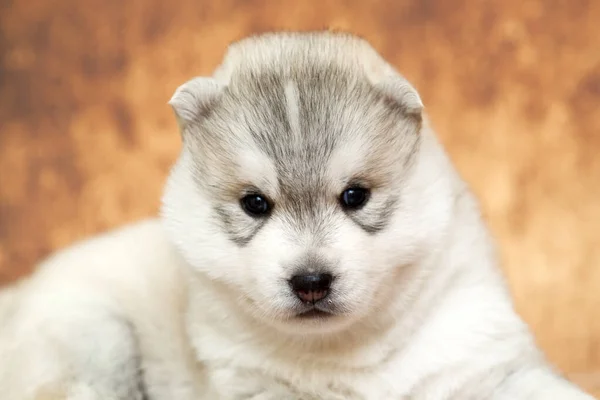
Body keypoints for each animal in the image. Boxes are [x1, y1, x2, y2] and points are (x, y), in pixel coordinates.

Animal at [0, 31, 592, 400]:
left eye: (355, 196)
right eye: (255, 203)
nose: (310, 282)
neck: (345, 354)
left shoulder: (481, 358)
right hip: (90, 334)